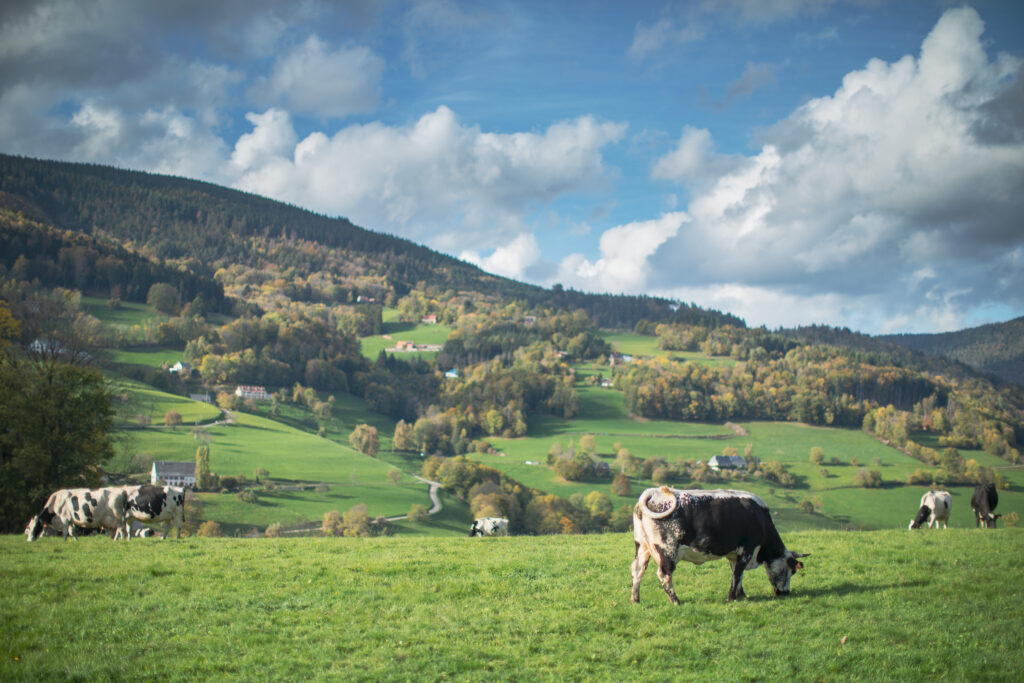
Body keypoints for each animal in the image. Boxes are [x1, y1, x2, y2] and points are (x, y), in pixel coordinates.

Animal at [630, 485, 806, 602]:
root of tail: (654, 492)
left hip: (642, 546)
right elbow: (737, 574)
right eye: (792, 570)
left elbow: (737, 574)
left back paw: (635, 600)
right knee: (664, 574)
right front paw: (731, 598)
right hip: (667, 550)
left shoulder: (735, 554)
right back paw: (676, 601)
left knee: (637, 569)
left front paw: (742, 596)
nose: (785, 593)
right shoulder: (747, 551)